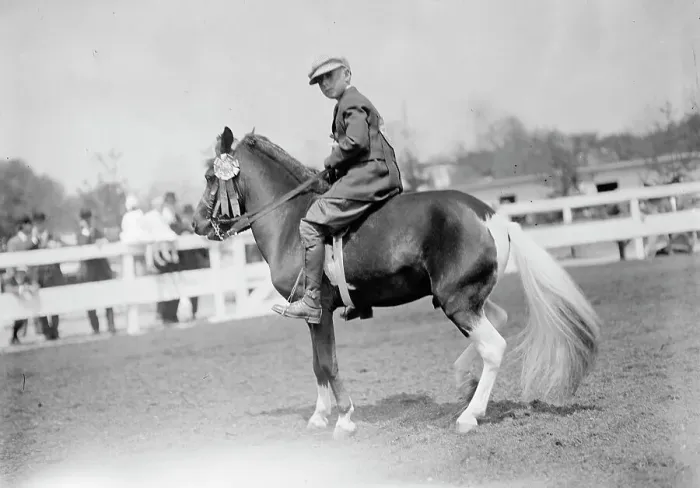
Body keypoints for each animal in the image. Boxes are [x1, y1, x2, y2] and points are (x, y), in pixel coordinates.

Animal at [192, 127, 602, 439]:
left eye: (211, 178)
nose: (195, 224)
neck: (293, 221)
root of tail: (491, 215)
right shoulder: (312, 318)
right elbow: (317, 365)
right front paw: (320, 416)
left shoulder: (318, 310)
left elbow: (328, 363)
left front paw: (343, 418)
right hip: (466, 298)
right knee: (496, 325)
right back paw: (464, 381)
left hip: (457, 302)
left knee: (494, 347)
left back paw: (469, 415)